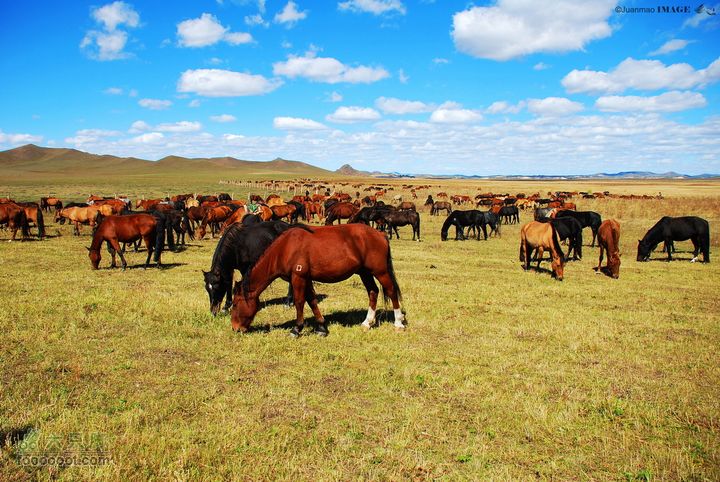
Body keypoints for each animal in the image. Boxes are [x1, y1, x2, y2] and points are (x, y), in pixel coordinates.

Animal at [230, 223, 406, 336]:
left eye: (235, 303)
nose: (235, 328)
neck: (285, 248)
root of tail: (380, 234)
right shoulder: (306, 279)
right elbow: (312, 300)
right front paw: (322, 327)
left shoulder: (298, 277)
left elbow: (300, 302)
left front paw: (296, 329)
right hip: (364, 272)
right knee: (373, 292)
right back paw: (367, 323)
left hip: (380, 271)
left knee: (391, 291)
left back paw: (398, 323)